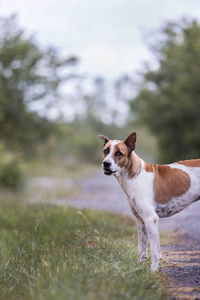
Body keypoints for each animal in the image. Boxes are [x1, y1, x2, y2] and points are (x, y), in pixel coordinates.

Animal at [99, 131, 200, 272]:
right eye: (106, 151)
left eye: (119, 153)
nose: (106, 163)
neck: (135, 175)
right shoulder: (141, 222)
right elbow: (141, 250)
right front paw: (138, 269)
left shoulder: (151, 219)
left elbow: (155, 252)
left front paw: (152, 272)